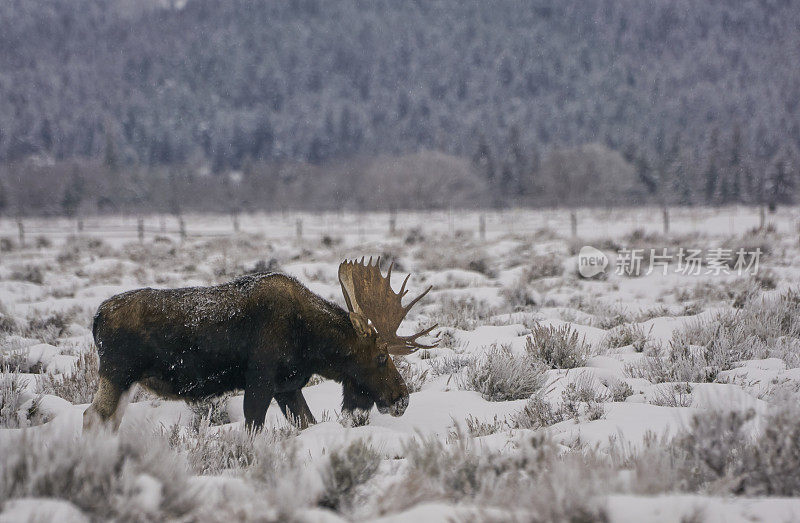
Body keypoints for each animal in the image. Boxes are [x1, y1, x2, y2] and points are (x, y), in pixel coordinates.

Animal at [83, 256, 434, 432]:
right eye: (380, 356)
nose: (402, 399)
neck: (311, 343)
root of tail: (97, 317)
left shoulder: (287, 386)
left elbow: (307, 422)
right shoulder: (260, 381)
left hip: (125, 381)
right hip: (117, 374)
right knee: (92, 417)